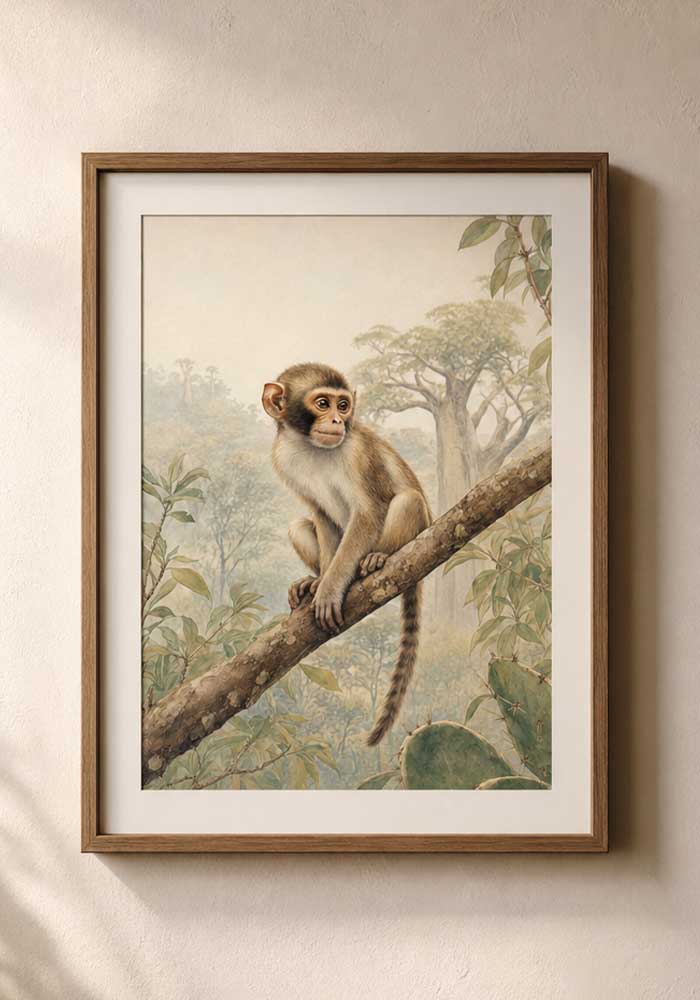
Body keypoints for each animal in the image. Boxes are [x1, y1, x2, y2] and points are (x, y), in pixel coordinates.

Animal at [262, 362, 431, 745]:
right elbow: (321, 517)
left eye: (343, 405)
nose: (338, 421)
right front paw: (321, 581)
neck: (310, 447)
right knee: (300, 524)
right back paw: (312, 579)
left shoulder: (359, 455)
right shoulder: (282, 459)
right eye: (322, 403)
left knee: (408, 500)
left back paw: (379, 557)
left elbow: (368, 512)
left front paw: (329, 589)